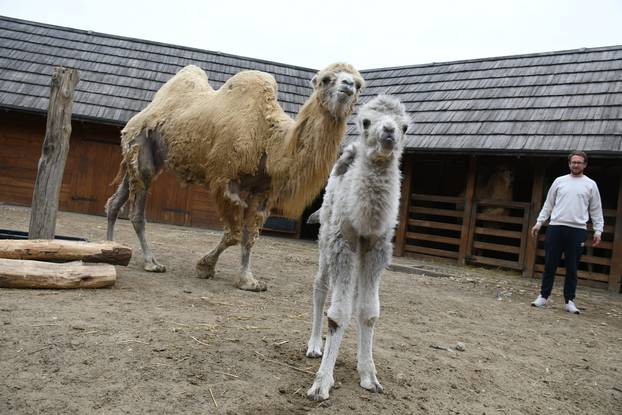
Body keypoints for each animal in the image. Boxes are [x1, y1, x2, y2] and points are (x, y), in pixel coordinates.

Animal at [306, 96, 412, 402]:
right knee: (321, 286)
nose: (388, 131)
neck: (365, 221)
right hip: (326, 237)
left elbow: (368, 311)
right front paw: (321, 384)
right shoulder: (343, 242)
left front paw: (369, 377)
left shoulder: (377, 248)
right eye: (365, 121)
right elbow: (337, 314)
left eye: (405, 126)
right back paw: (314, 346)